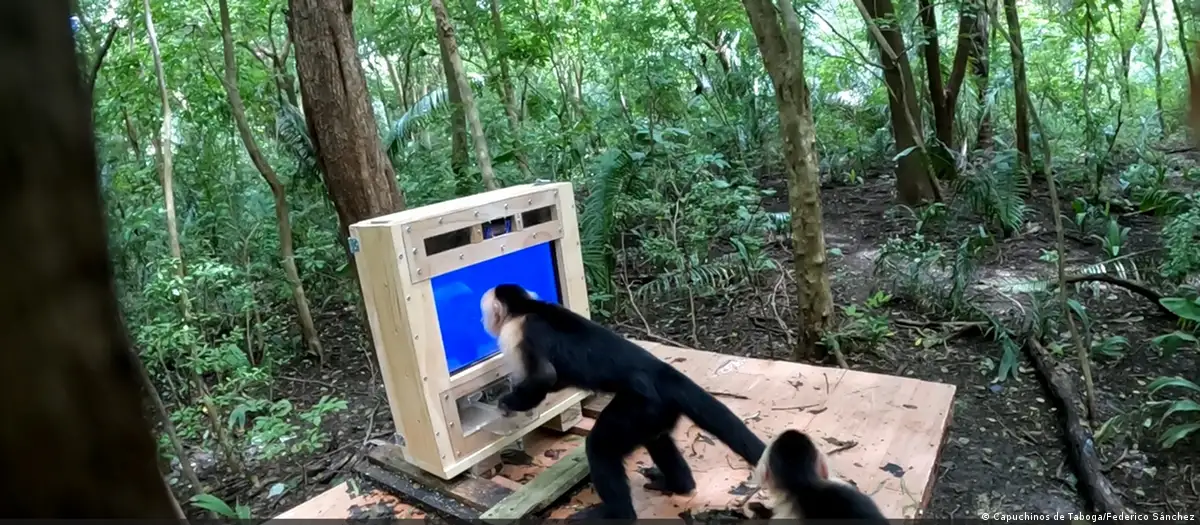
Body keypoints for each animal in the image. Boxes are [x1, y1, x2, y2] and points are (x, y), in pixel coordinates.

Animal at [479, 284, 767, 520]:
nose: (483, 321)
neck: (526, 308)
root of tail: (660, 371)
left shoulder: (517, 332)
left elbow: (544, 377)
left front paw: (508, 403)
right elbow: (556, 379)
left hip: (638, 406)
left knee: (600, 447)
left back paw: (616, 514)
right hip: (656, 411)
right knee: (657, 439)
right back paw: (678, 484)